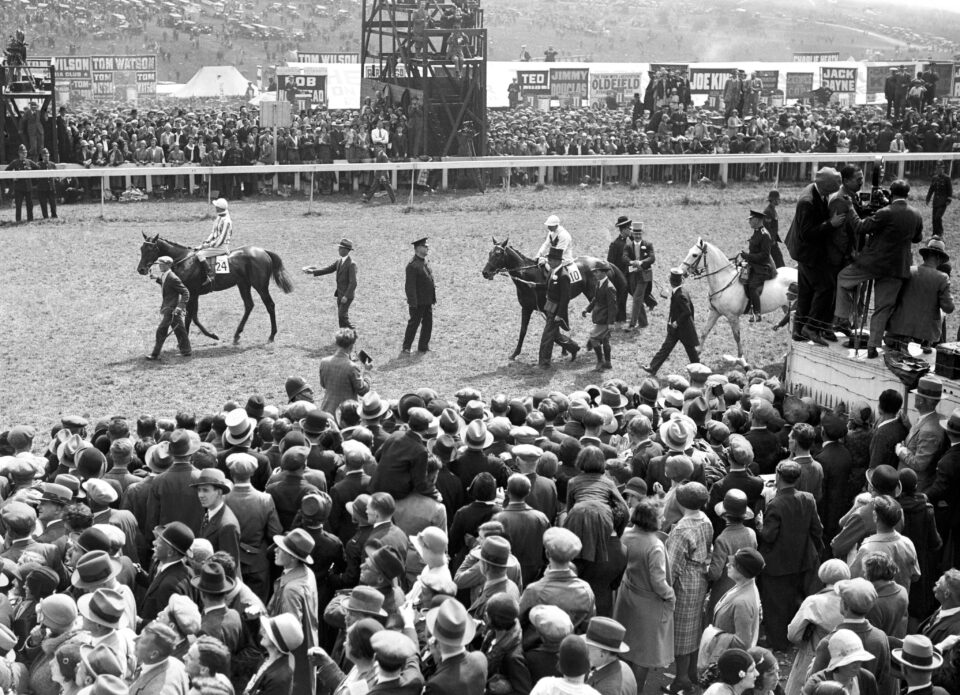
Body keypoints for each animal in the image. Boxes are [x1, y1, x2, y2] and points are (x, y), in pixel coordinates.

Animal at [136, 237, 292, 346]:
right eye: (142, 249)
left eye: (151, 249)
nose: (141, 269)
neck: (184, 260)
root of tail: (263, 251)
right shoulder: (193, 295)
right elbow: (193, 317)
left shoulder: (192, 293)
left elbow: (191, 317)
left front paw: (205, 336)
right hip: (243, 284)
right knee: (249, 305)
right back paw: (237, 335)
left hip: (260, 286)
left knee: (270, 305)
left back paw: (271, 335)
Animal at [480, 238, 632, 358]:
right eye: (489, 253)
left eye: (498, 254)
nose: (485, 272)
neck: (529, 276)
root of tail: (605, 263)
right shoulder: (526, 308)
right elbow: (523, 330)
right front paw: (515, 353)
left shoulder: (548, 309)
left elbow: (555, 330)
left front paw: (565, 349)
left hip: (594, 294)